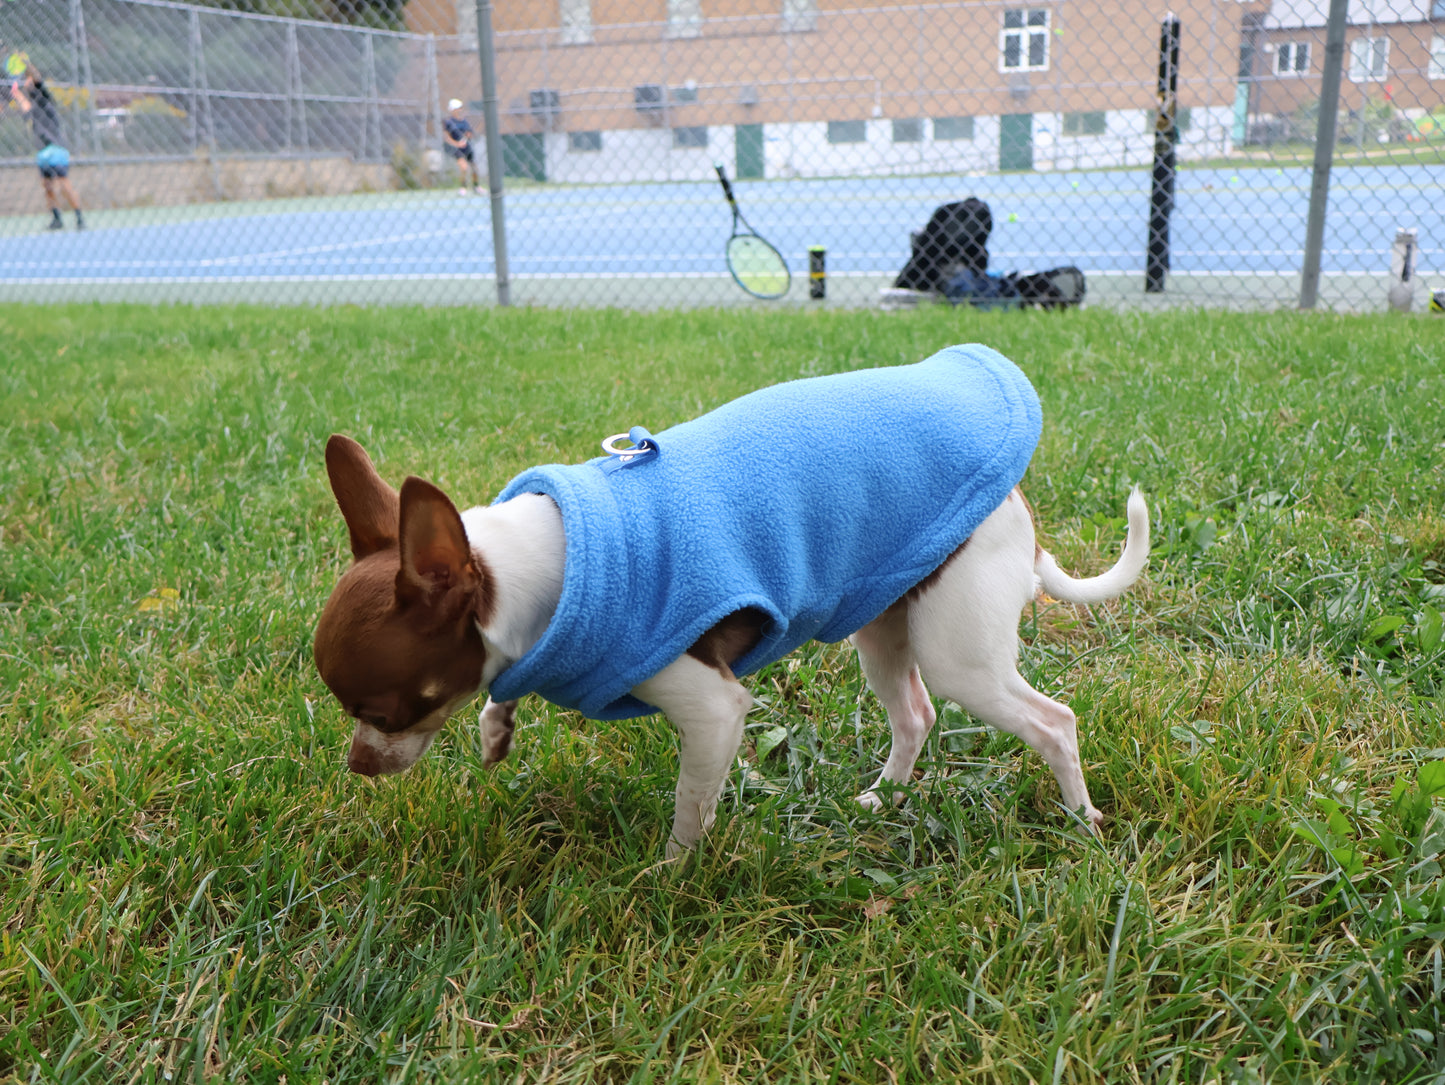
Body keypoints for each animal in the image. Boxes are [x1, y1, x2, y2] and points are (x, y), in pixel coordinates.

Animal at [316, 345, 1150, 855]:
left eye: (388, 710)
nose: (358, 766)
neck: (547, 562)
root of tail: (1018, 505)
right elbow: (501, 691)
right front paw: (497, 725)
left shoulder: (712, 708)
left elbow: (692, 806)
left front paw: (669, 878)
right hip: (884, 623)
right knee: (914, 712)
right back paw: (883, 797)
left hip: (959, 649)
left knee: (1051, 721)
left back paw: (1082, 819)